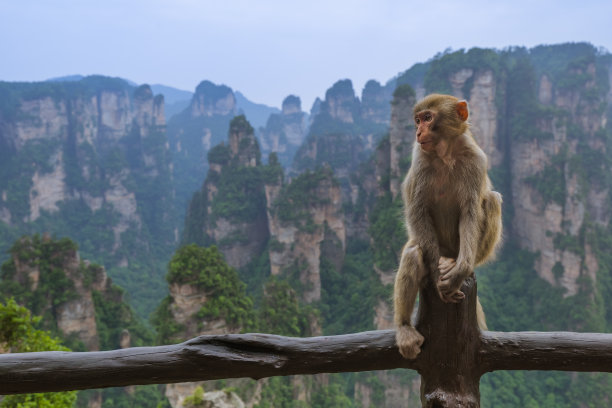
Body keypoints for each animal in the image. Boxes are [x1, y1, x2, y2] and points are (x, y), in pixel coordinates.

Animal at [392, 94, 502, 358]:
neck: (445, 153)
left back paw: (459, 265)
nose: (418, 131)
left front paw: (461, 271)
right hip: (434, 246)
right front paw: (435, 274)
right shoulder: (419, 159)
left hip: (457, 247)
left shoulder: (476, 160)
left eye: (428, 117)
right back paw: (404, 327)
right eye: (417, 120)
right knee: (413, 253)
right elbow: (417, 211)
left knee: (492, 200)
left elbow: (471, 212)